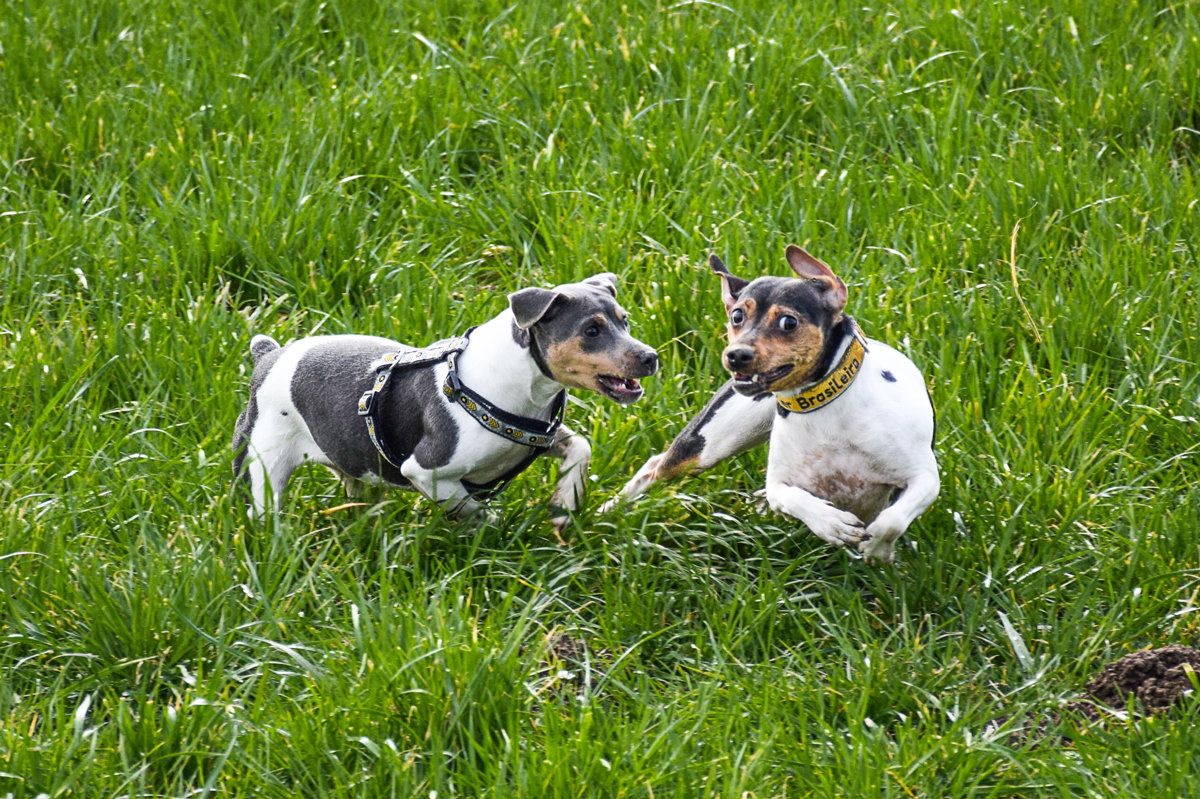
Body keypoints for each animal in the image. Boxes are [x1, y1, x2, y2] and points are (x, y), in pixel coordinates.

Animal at [230, 271, 662, 525]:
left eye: (624, 321)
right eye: (591, 331)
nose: (651, 357)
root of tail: (267, 354)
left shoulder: (536, 437)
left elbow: (581, 448)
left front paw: (564, 504)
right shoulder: (426, 469)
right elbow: (478, 510)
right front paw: (493, 525)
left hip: (350, 461)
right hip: (261, 468)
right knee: (261, 508)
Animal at [609, 245, 936, 563]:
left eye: (788, 322)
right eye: (737, 316)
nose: (736, 355)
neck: (825, 406)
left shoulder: (925, 478)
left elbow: (892, 520)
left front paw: (879, 548)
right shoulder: (779, 483)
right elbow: (790, 497)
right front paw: (831, 523)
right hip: (710, 444)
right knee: (655, 466)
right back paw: (610, 510)